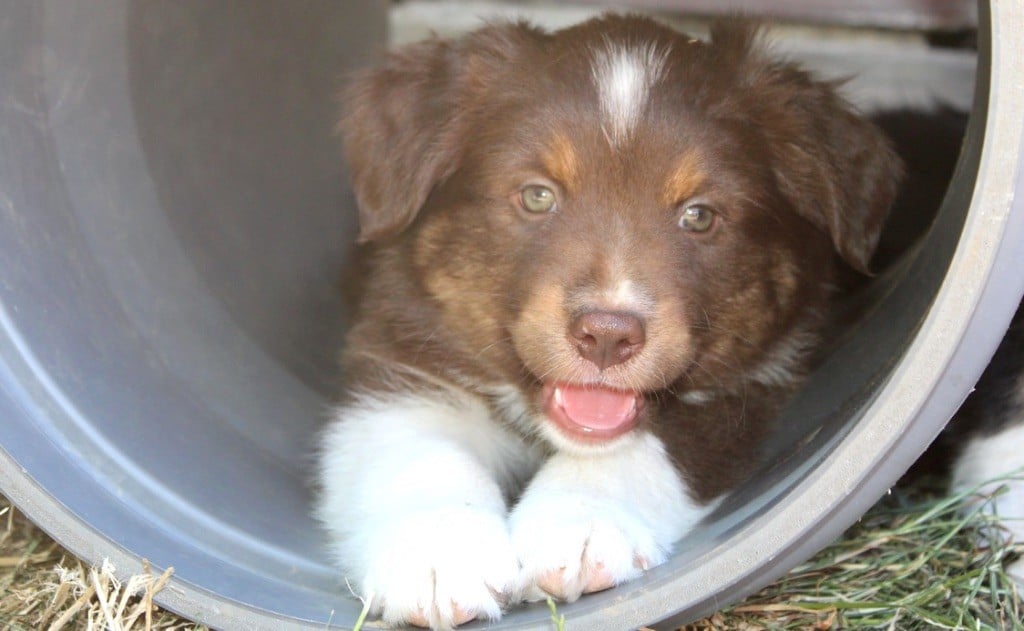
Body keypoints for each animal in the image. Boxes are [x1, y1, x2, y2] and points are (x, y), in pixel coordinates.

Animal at [316, 15, 901, 629]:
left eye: (699, 215)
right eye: (536, 195)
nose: (607, 335)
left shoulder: (758, 382)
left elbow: (648, 445)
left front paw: (578, 525)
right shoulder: (398, 347)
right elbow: (415, 448)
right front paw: (438, 556)